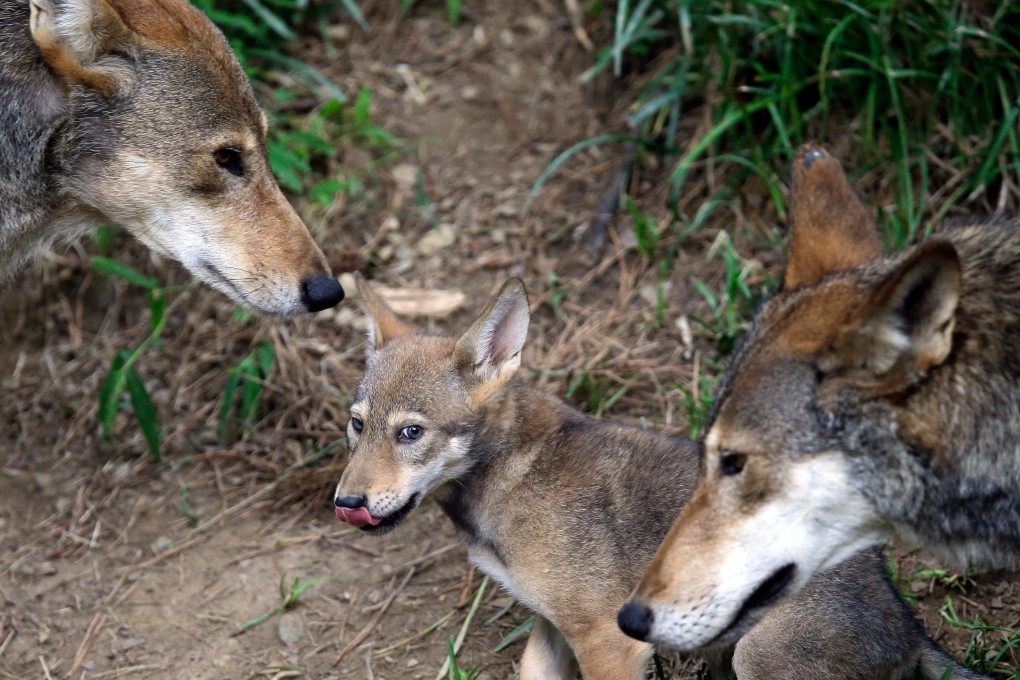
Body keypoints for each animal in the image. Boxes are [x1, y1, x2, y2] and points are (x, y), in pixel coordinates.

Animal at [332, 275, 982, 679]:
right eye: (356, 426)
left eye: (410, 433)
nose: (346, 499)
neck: (509, 478)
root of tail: (906, 622)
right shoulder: (549, 626)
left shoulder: (607, 639)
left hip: (756, 659)